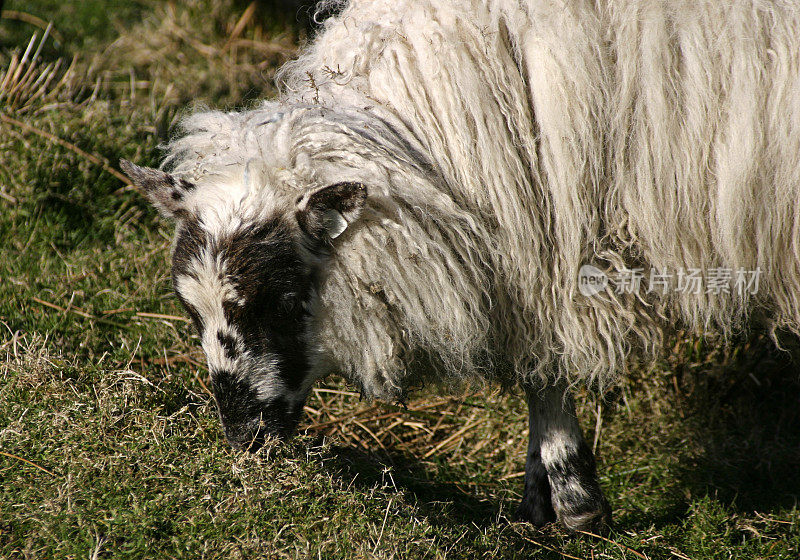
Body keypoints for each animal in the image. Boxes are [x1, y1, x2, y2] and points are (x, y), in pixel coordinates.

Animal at [119, 0, 800, 532]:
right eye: (190, 311)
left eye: (283, 300)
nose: (243, 440)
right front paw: (546, 497)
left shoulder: (553, 242)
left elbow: (546, 359)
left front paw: (574, 499)